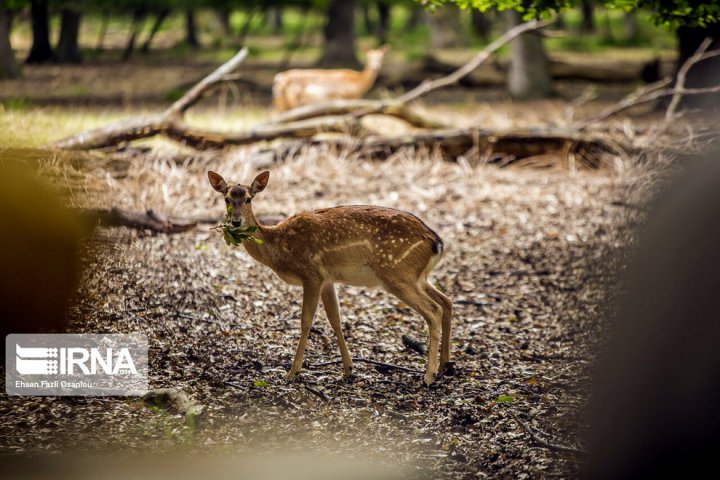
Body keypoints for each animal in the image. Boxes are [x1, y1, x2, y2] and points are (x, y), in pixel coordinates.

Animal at [207, 171, 450, 384]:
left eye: (249, 199)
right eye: (227, 199)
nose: (236, 222)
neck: (280, 249)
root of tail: (436, 242)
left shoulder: (311, 274)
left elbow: (306, 321)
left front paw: (292, 372)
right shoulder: (328, 280)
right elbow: (336, 320)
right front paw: (348, 369)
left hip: (396, 273)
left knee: (433, 309)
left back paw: (429, 375)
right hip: (417, 276)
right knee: (446, 301)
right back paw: (445, 366)